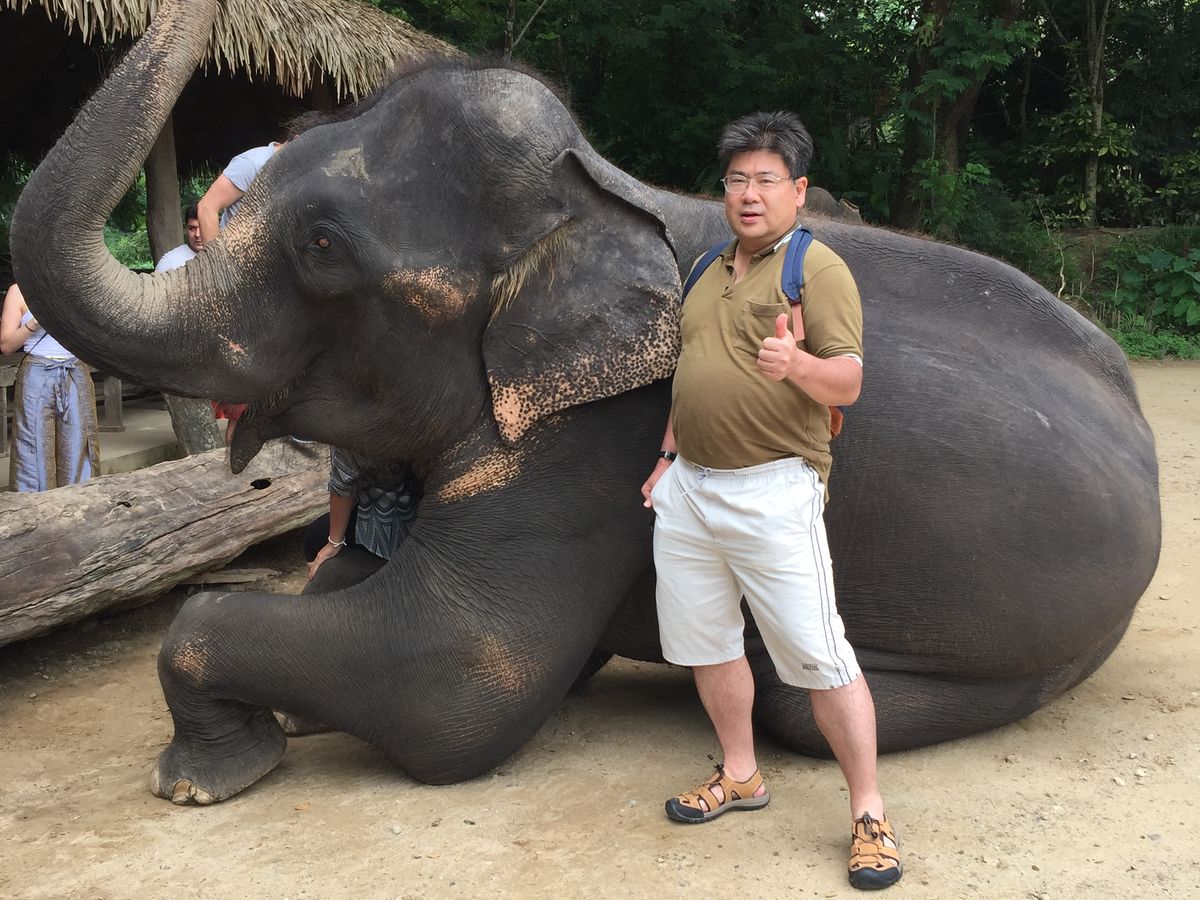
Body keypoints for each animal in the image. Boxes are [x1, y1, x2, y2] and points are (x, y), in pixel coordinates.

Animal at [12, 0, 1159, 805]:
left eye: (324, 246)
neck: (596, 192)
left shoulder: (597, 442)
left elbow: (451, 679)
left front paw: (205, 774)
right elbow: (348, 582)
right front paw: (287, 719)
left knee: (794, 703)